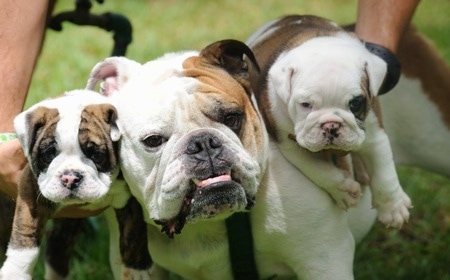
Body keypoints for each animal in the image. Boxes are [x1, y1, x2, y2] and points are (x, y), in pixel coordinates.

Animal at [0, 90, 151, 280]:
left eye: (96, 154)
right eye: (49, 154)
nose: (70, 178)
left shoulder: (132, 198)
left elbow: (134, 232)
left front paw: (136, 269)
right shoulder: (30, 190)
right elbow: (26, 234)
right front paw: (16, 272)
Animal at [244, 14, 414, 228]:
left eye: (355, 103)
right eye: (305, 104)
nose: (331, 125)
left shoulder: (374, 132)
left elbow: (384, 169)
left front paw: (392, 207)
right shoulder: (290, 145)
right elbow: (319, 171)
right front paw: (342, 191)